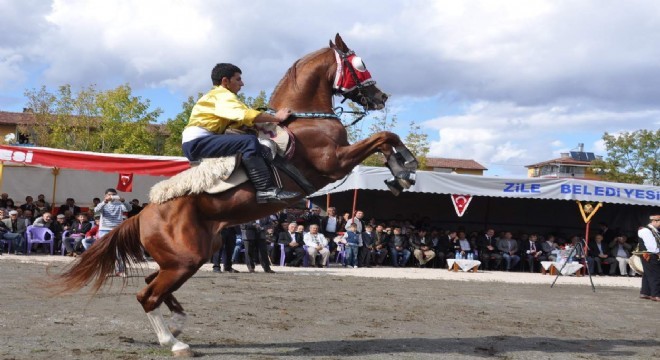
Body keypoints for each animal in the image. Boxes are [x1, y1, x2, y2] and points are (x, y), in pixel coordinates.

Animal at [56, 34, 418, 358]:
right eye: (360, 65)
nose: (381, 96)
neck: (303, 120)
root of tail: (144, 212)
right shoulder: (334, 161)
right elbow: (384, 136)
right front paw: (405, 170)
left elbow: (385, 138)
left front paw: (401, 172)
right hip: (185, 260)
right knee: (147, 296)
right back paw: (174, 343)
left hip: (188, 257)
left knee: (150, 284)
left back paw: (178, 325)